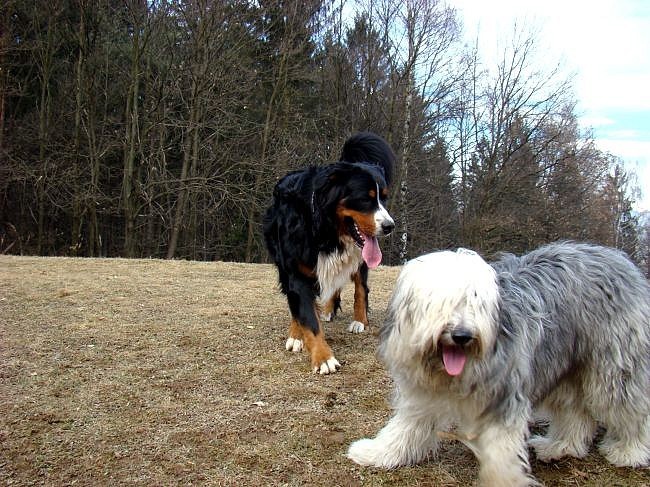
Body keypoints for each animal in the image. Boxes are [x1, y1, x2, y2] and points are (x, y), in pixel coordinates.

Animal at [262, 132, 394, 376]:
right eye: (366, 198)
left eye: (384, 198)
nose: (390, 226)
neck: (324, 229)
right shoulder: (294, 271)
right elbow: (304, 314)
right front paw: (312, 347)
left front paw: (323, 357)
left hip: (360, 257)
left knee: (360, 288)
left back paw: (359, 320)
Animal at [350, 242, 648, 486]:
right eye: (442, 303)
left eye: (475, 301)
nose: (462, 335)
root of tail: (620, 259)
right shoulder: (422, 394)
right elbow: (405, 426)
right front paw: (376, 452)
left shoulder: (505, 395)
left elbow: (501, 451)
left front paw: (503, 480)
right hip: (565, 362)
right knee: (574, 410)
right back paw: (561, 446)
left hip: (616, 366)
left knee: (630, 409)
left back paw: (630, 451)